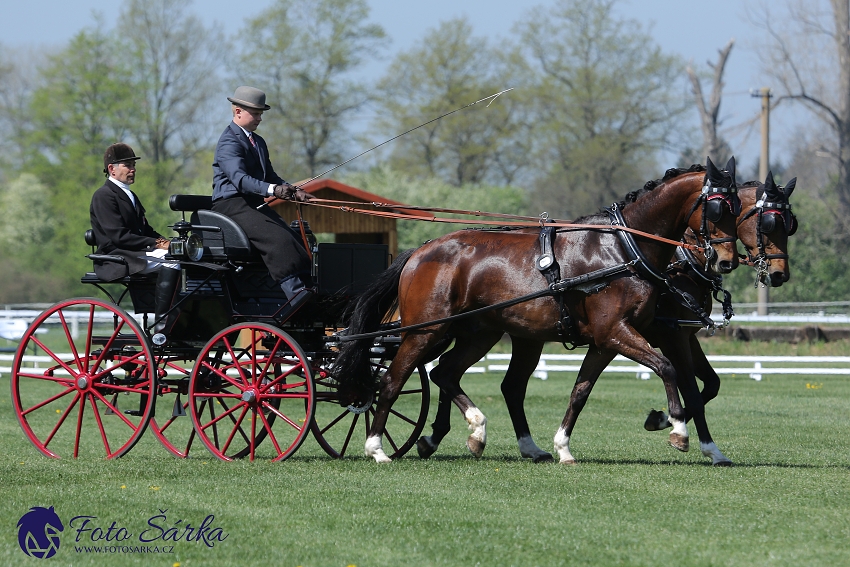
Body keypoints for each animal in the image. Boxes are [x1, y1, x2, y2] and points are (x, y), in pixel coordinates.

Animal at [334, 159, 740, 462]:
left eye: (739, 209)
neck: (624, 250)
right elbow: (668, 368)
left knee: (447, 374)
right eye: (718, 207)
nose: (726, 261)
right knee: (393, 380)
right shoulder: (618, 332)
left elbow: (581, 390)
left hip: (479, 334)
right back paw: (377, 448)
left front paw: (563, 447)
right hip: (425, 331)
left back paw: (479, 431)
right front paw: (677, 429)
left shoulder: (606, 341)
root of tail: (419, 252)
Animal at [418, 169, 796, 466]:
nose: (780, 274)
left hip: (514, 336)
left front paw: (681, 430)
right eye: (766, 221)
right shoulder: (662, 336)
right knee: (452, 373)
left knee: (477, 379)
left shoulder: (681, 336)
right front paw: (674, 426)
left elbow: (706, 385)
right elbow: (683, 381)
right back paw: (440, 436)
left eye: (789, 224)